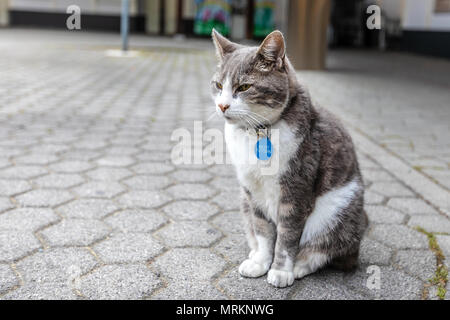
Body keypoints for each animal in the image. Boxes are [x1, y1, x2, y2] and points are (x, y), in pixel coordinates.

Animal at [209, 30, 368, 288]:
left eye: (244, 86)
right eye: (219, 85)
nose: (222, 105)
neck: (258, 132)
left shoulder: (296, 192)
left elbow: (287, 236)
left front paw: (281, 270)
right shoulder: (253, 192)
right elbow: (263, 231)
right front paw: (261, 262)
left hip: (339, 211)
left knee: (327, 250)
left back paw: (300, 266)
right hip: (243, 200)